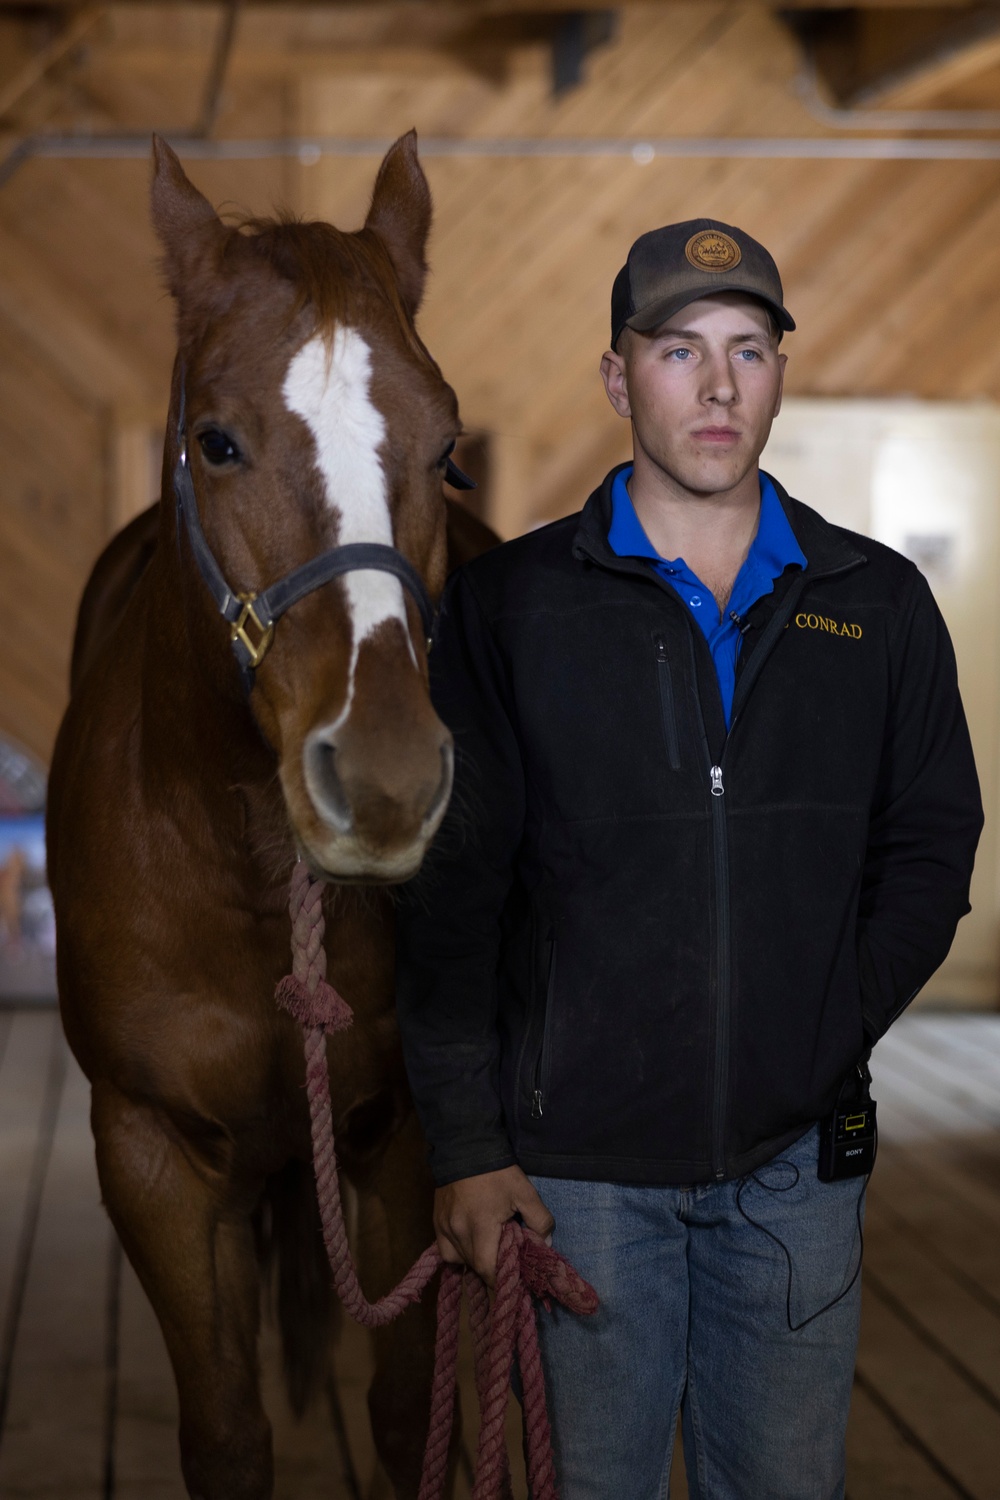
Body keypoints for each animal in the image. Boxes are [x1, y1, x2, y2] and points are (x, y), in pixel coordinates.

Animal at [46, 132, 491, 1500]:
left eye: (449, 450)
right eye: (216, 442)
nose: (387, 777)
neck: (248, 879)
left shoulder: (405, 1138)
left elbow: (409, 1416)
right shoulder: (152, 1158)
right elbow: (228, 1433)